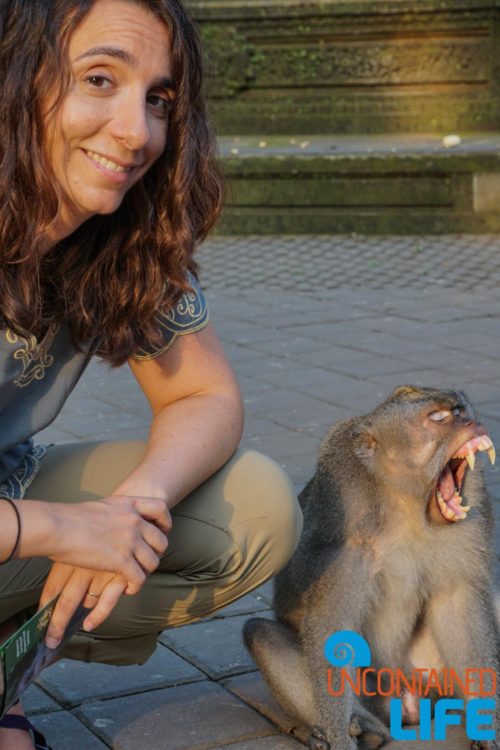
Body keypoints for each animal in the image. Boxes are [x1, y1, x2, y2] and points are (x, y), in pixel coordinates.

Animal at [244, 388, 498, 750]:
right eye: (438, 418)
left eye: (462, 410)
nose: (472, 422)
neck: (406, 505)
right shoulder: (342, 537)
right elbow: (330, 626)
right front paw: (340, 738)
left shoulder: (472, 517)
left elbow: (458, 605)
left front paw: (487, 727)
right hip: (372, 689)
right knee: (261, 634)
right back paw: (365, 730)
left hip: (430, 675)